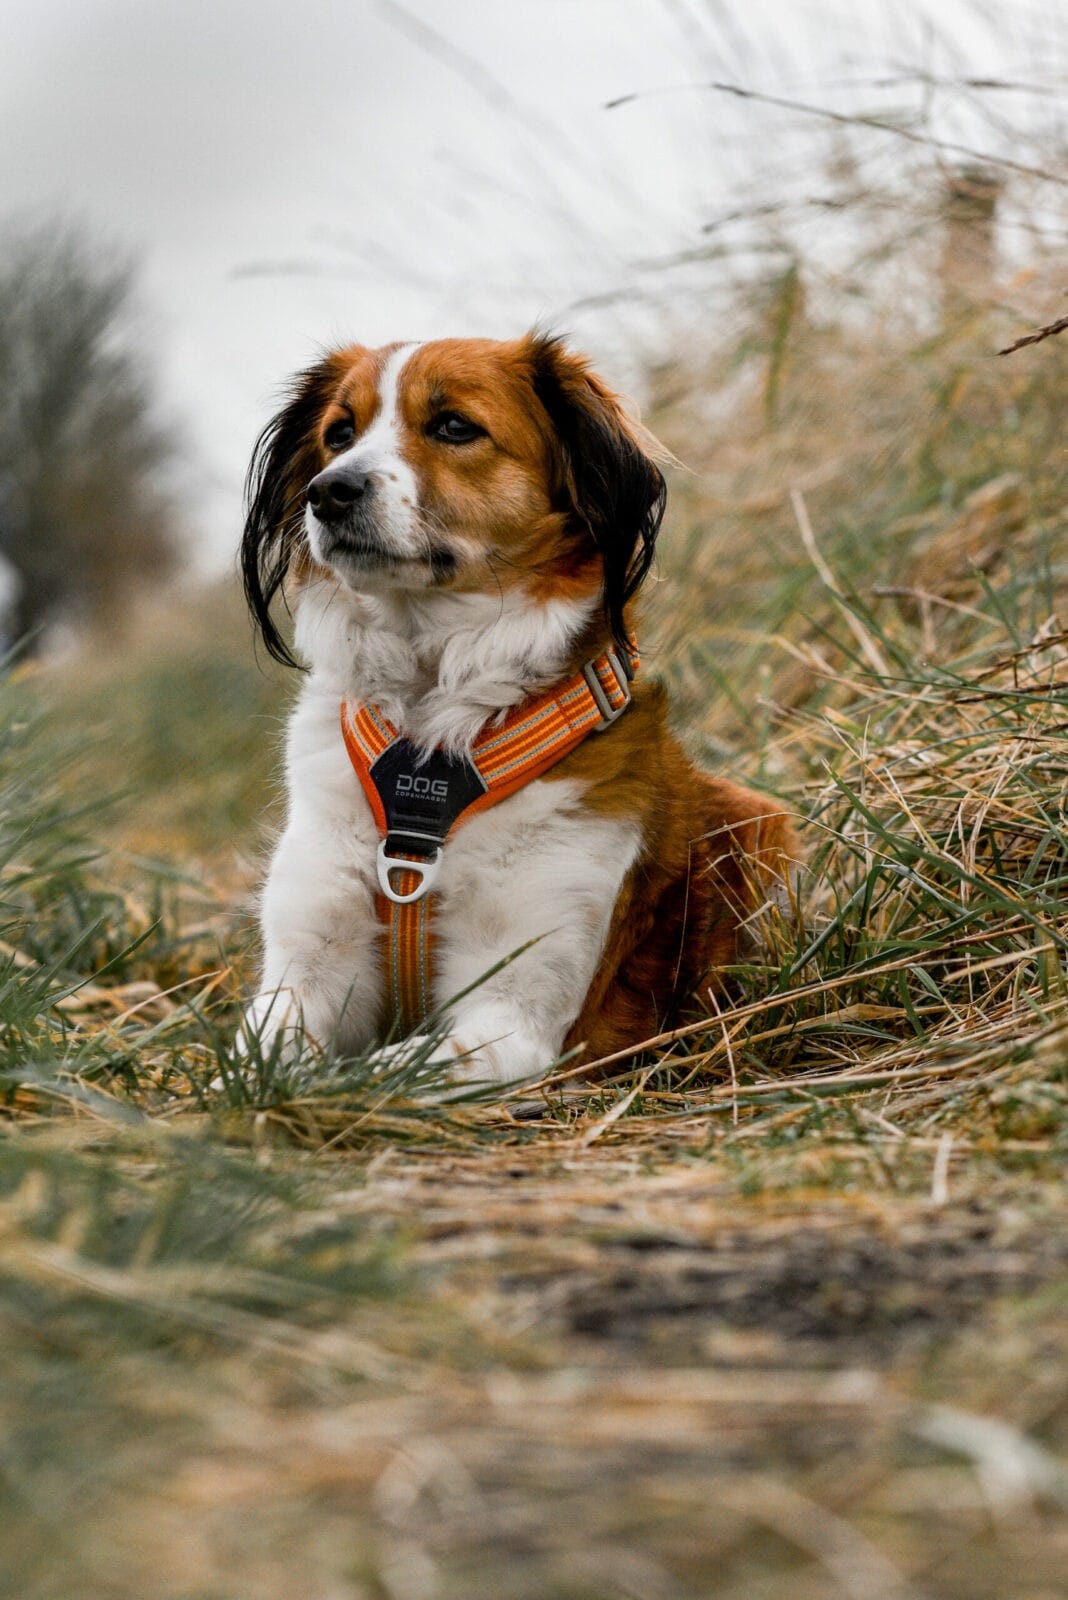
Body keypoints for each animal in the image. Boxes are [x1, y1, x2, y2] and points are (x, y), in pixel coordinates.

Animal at [239, 334, 793, 1088]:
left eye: (454, 427)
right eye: (340, 434)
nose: (328, 492)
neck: (432, 749)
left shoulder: (514, 1014)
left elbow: (388, 1070)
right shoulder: (306, 971)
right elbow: (255, 1063)